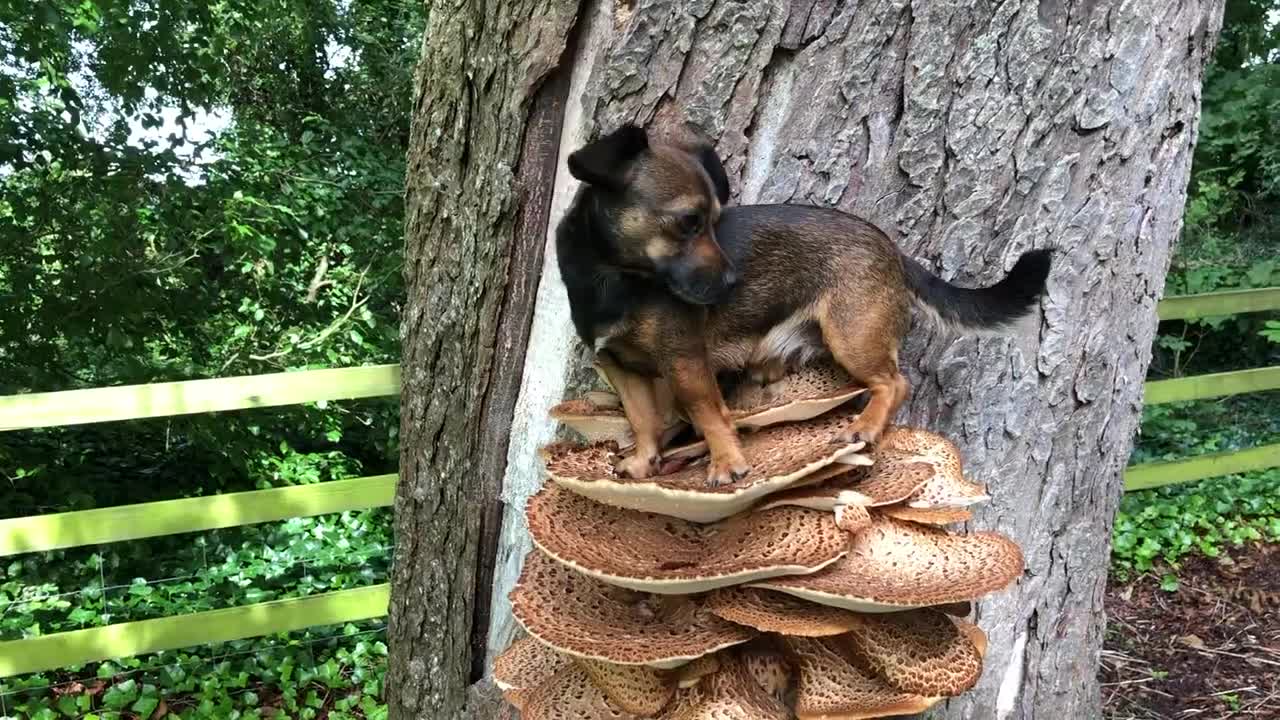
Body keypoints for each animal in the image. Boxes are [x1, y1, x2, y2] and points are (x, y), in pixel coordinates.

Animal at [552, 122, 1049, 484]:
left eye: (715, 222)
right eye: (689, 222)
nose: (733, 280)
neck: (613, 278)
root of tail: (892, 250)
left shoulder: (684, 360)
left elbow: (708, 412)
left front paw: (726, 462)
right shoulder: (620, 367)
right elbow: (643, 420)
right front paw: (643, 463)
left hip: (852, 336)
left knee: (895, 383)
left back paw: (866, 426)